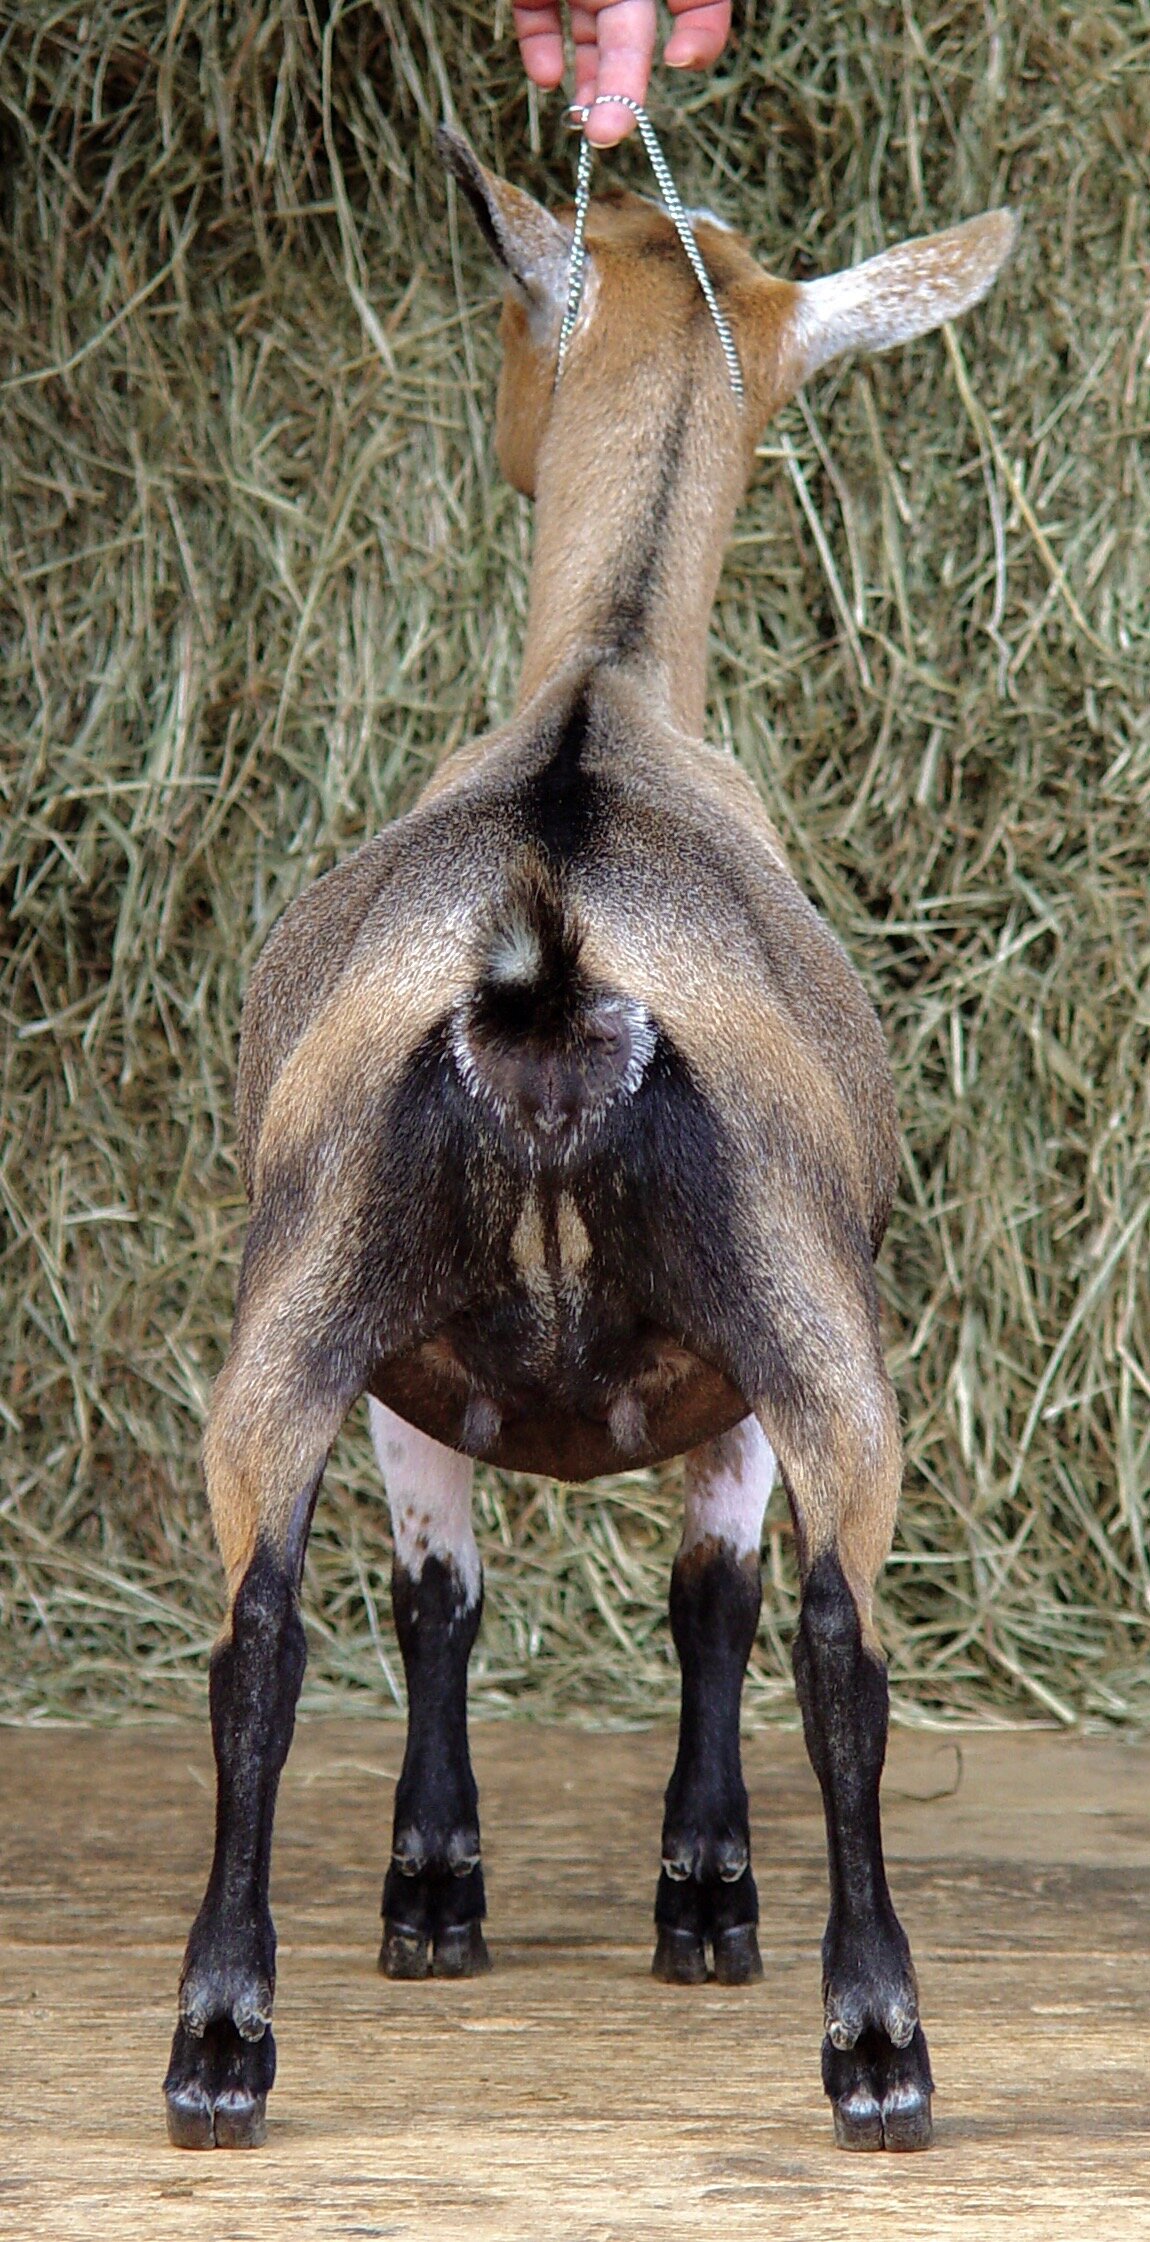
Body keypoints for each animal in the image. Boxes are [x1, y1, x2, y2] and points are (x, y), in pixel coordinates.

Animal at [163, 127, 1013, 2152]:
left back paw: (222, 2036)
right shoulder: (709, 1365)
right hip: (801, 1313)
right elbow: (692, 1600)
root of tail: (551, 939)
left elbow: (445, 1600)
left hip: (303, 1298)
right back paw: (875, 2040)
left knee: (257, 1632)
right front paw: (687, 1891)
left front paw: (439, 1887)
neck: (599, 685)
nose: (505, 432)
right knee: (837, 1637)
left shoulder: (406, 1356)